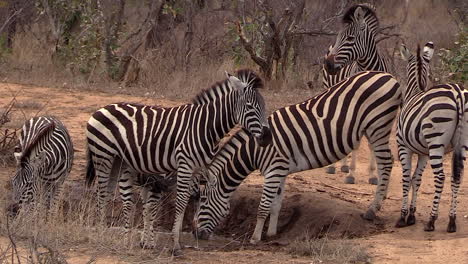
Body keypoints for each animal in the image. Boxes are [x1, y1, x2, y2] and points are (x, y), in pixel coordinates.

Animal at [85, 69, 270, 253]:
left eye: (264, 106)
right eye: (250, 107)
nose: (267, 136)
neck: (205, 127)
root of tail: (102, 108)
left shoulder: (196, 169)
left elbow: (184, 201)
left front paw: (172, 240)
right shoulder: (184, 165)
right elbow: (179, 202)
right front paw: (175, 245)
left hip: (117, 161)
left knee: (109, 193)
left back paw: (106, 234)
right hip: (103, 156)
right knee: (101, 193)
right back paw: (101, 234)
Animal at [194, 70, 402, 243]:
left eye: (202, 200)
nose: (197, 234)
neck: (255, 150)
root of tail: (388, 76)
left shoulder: (273, 170)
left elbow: (263, 206)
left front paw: (255, 238)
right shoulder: (280, 171)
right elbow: (275, 204)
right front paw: (271, 233)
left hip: (377, 126)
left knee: (386, 162)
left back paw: (373, 209)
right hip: (374, 129)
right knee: (387, 161)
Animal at [322, 3, 392, 186]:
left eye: (350, 38)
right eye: (339, 36)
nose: (328, 64)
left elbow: (372, 143)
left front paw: (374, 175)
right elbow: (357, 142)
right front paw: (351, 174)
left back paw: (343, 165)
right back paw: (335, 166)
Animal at [394, 42, 466, 232]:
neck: (415, 91)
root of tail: (458, 93)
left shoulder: (403, 146)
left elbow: (406, 178)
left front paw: (403, 216)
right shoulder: (423, 153)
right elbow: (416, 179)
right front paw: (411, 215)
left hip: (436, 141)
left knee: (440, 177)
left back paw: (432, 220)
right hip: (462, 143)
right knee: (457, 176)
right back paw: (452, 221)